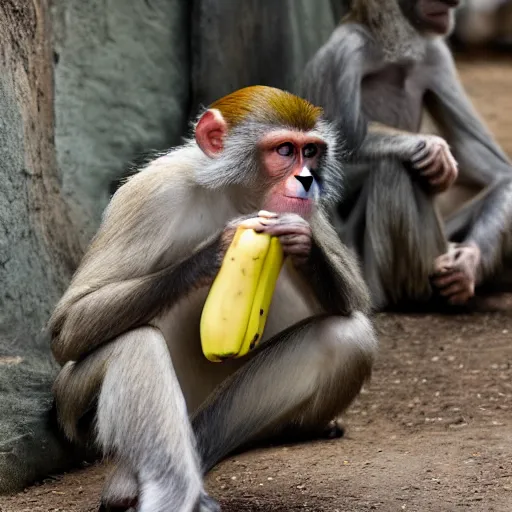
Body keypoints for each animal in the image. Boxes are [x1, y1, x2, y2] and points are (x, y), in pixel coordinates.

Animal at [48, 86, 378, 510]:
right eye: (285, 150)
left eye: (311, 152)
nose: (307, 180)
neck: (232, 193)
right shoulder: (153, 193)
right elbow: (68, 325)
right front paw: (214, 252)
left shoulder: (304, 208)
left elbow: (354, 300)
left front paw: (301, 241)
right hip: (76, 408)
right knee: (134, 343)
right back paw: (168, 489)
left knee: (344, 339)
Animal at [300, 0, 512, 310]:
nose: (455, 3)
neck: (392, 55)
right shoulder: (344, 54)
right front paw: (428, 146)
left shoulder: (435, 57)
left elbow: (499, 172)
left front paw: (467, 263)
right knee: (393, 166)